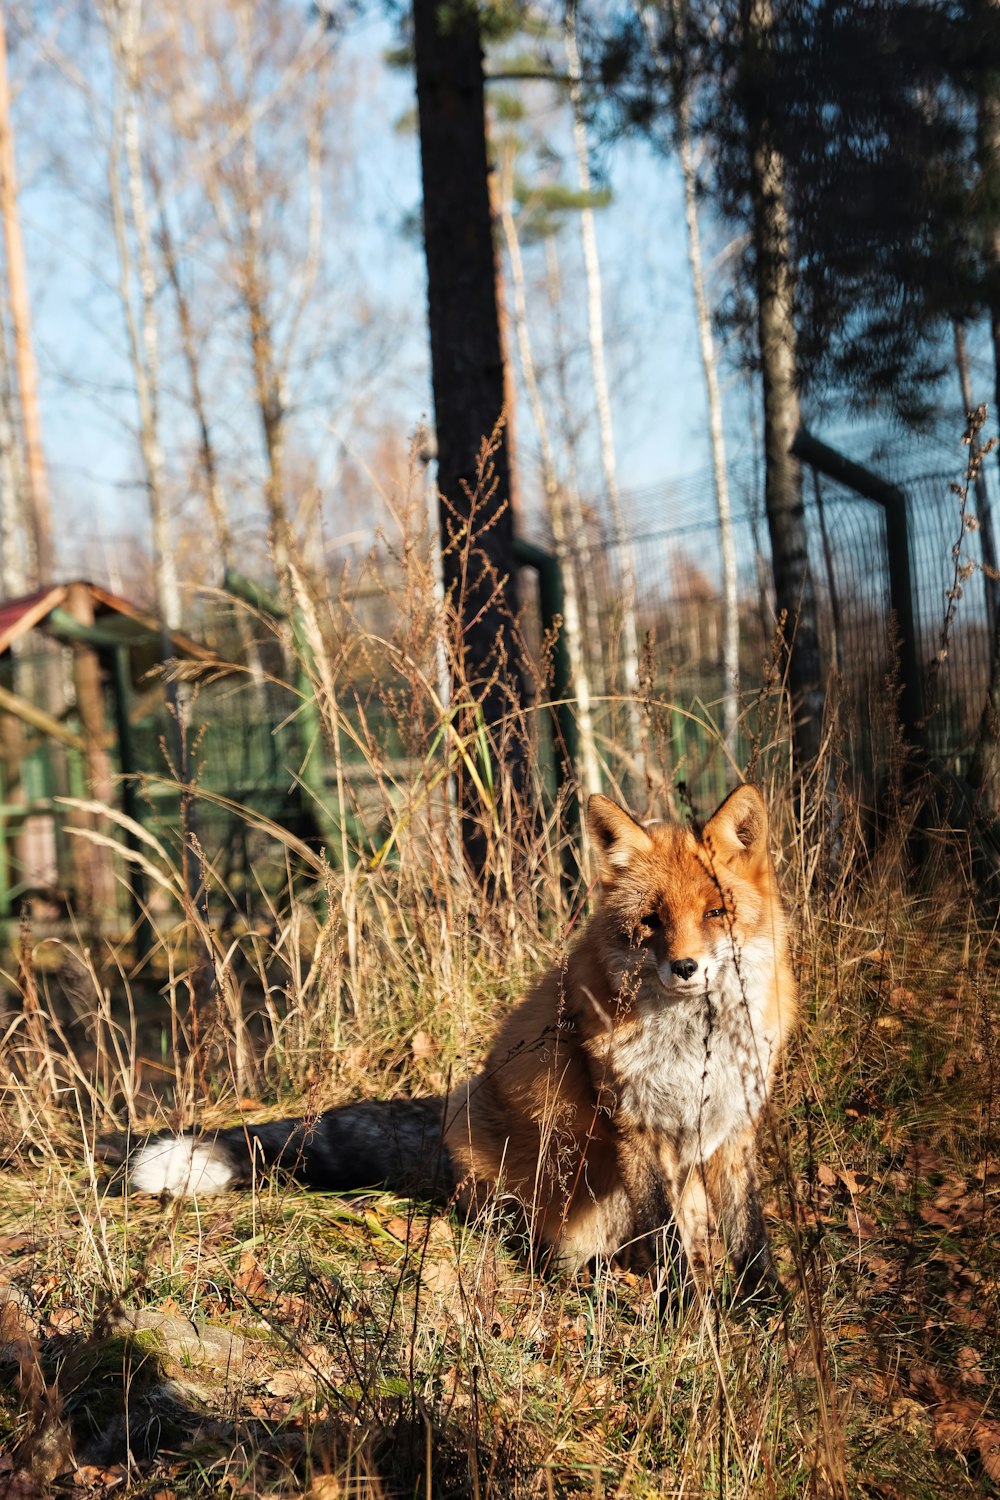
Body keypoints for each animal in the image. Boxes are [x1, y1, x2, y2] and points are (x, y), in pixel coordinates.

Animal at [127, 786, 797, 1302]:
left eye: (715, 912)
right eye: (652, 921)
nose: (685, 968)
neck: (693, 1047)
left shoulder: (734, 1124)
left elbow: (749, 1233)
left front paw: (768, 1307)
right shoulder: (636, 1127)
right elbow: (664, 1239)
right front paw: (686, 1310)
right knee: (546, 1244)